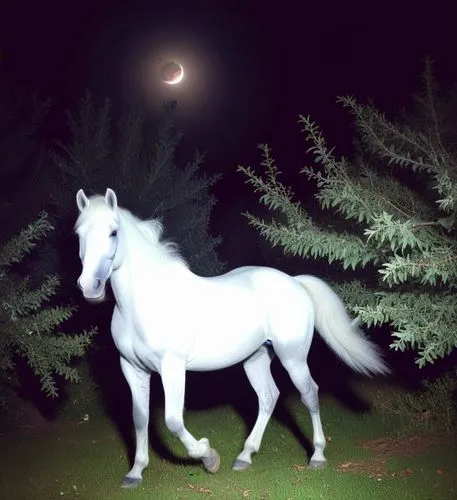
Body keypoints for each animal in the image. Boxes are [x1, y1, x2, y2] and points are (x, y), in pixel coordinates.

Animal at [75, 188, 388, 488]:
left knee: (310, 393)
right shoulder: (132, 368)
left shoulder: (172, 368)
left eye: (113, 232)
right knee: (268, 397)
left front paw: (209, 458)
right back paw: (245, 456)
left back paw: (318, 456)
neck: (143, 305)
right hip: (256, 359)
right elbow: (140, 419)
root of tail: (295, 282)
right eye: (79, 234)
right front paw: (136, 472)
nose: (90, 287)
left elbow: (173, 421)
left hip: (293, 358)